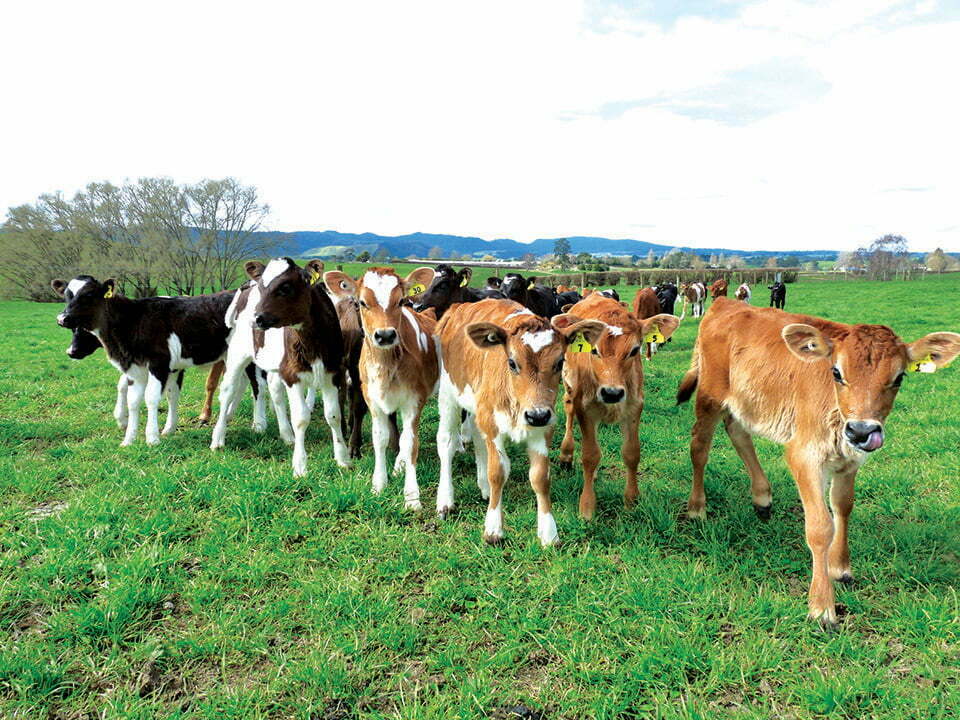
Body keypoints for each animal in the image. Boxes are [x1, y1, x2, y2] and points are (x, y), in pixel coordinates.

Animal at [51, 276, 264, 446]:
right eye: (67, 295)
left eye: (88, 295)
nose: (62, 318)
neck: (133, 321)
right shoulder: (136, 368)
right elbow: (135, 400)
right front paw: (129, 439)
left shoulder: (159, 364)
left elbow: (152, 398)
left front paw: (152, 437)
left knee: (257, 385)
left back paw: (259, 425)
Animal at [324, 267, 439, 508]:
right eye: (361, 302)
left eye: (401, 301)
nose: (385, 335)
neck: (387, 365)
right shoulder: (372, 398)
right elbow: (380, 438)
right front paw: (379, 484)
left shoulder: (415, 400)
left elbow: (410, 442)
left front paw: (412, 496)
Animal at [434, 299, 604, 544]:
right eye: (512, 363)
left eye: (560, 361)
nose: (537, 415)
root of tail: (458, 306)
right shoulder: (493, 423)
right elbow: (498, 472)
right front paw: (493, 529)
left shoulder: (543, 427)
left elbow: (540, 477)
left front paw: (549, 532)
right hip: (449, 392)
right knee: (446, 443)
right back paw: (445, 501)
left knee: (477, 438)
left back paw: (483, 487)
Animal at [558, 293, 679, 519]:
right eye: (594, 350)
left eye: (634, 350)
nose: (611, 392)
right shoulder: (584, 408)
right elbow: (590, 455)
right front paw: (587, 507)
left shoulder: (634, 408)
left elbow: (631, 453)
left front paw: (631, 500)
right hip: (569, 386)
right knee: (568, 410)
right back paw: (566, 455)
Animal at [676, 297, 960, 627]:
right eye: (836, 372)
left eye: (899, 377)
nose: (861, 430)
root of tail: (724, 302)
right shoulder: (805, 456)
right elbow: (821, 526)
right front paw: (822, 606)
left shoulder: (850, 461)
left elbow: (843, 507)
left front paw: (840, 568)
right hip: (709, 394)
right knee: (700, 445)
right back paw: (697, 507)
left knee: (737, 430)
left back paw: (762, 497)